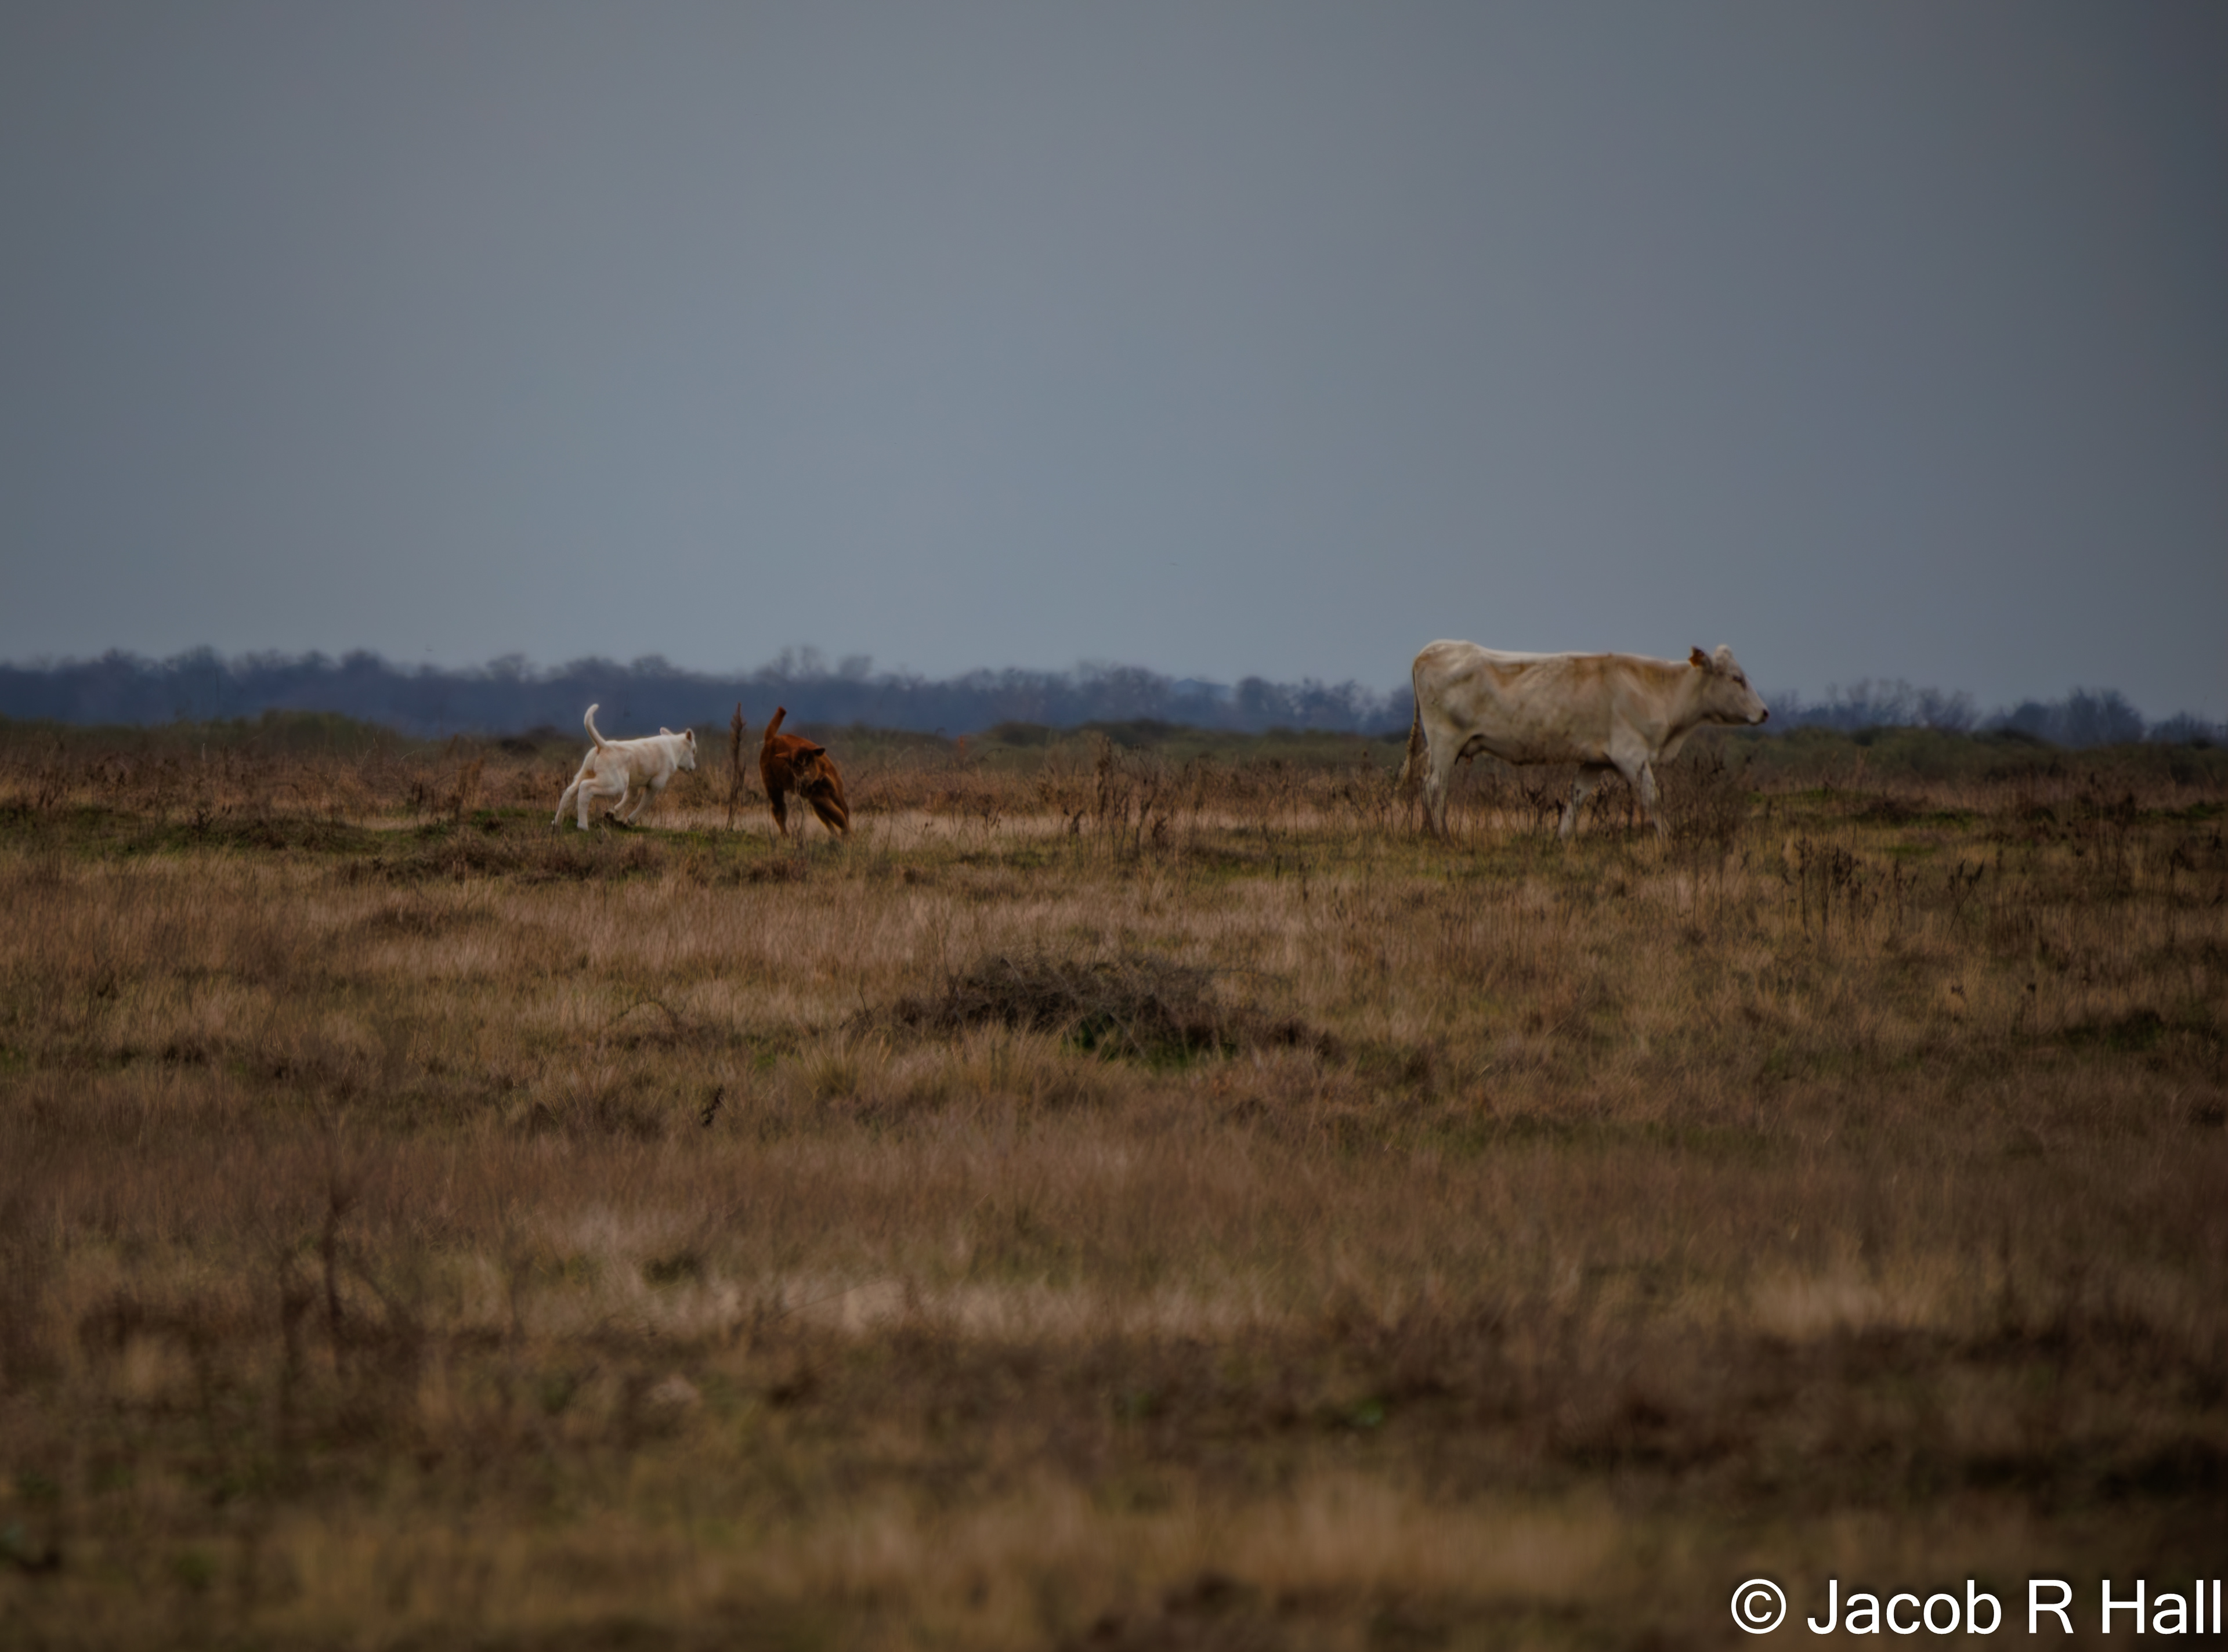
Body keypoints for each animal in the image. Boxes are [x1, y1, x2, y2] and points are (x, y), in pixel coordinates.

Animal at [1395, 642, 1769, 840]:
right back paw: (1442, 835)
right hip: (1446, 742)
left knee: (1428, 785)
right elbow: (1653, 798)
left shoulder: (1594, 761)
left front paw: (1561, 838)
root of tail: (1436, 647)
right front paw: (1667, 839)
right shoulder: (1631, 755)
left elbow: (1576, 798)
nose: (1765, 712)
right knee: (1434, 787)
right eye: (1737, 679)